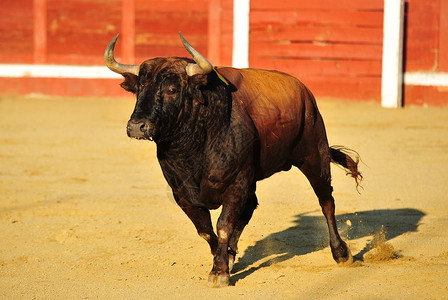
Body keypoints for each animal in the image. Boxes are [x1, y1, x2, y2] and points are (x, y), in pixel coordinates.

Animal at [104, 33, 360, 288]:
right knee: (250, 208)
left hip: (314, 156)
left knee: (326, 201)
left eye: (172, 89)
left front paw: (219, 272)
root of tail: (304, 91)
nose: (137, 126)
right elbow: (206, 230)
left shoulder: (236, 184)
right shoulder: (182, 193)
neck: (193, 148)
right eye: (139, 89)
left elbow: (223, 225)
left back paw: (341, 253)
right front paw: (226, 258)